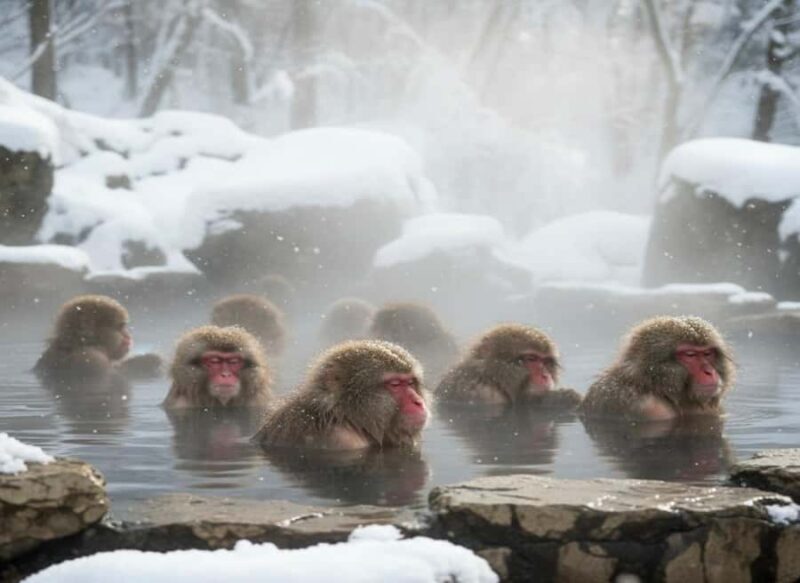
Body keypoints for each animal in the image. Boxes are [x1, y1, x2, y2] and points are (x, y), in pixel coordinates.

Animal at [436, 323, 581, 410]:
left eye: (545, 362)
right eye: (531, 359)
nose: (545, 376)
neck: (490, 378)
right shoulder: (483, 394)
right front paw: (563, 398)